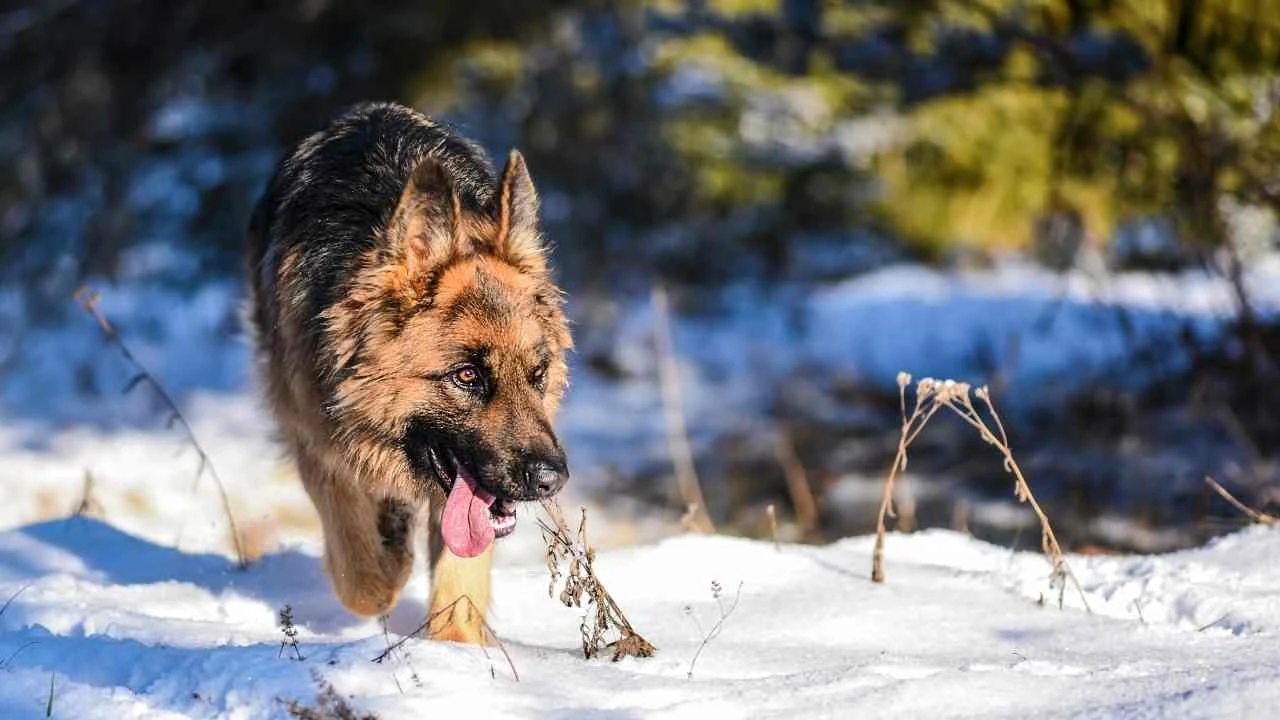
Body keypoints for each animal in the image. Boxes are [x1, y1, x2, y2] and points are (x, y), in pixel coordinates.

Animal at [243, 99, 570, 638]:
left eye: (537, 375)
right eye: (466, 377)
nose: (550, 481)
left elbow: (458, 592)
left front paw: (455, 649)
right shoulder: (316, 443)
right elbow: (363, 578)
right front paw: (389, 556)